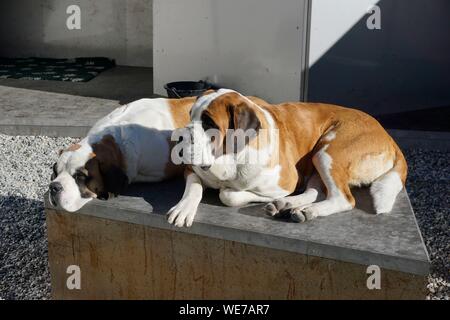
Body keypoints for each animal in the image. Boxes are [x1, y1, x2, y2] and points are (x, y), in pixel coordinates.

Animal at [168, 89, 408, 228]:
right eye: (190, 115)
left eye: (209, 123)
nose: (178, 136)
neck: (230, 158)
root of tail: (389, 137)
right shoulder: (190, 170)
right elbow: (194, 186)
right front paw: (184, 208)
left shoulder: (287, 182)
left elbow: (229, 195)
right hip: (319, 158)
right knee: (316, 190)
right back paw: (287, 206)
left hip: (327, 152)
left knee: (343, 198)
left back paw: (306, 210)